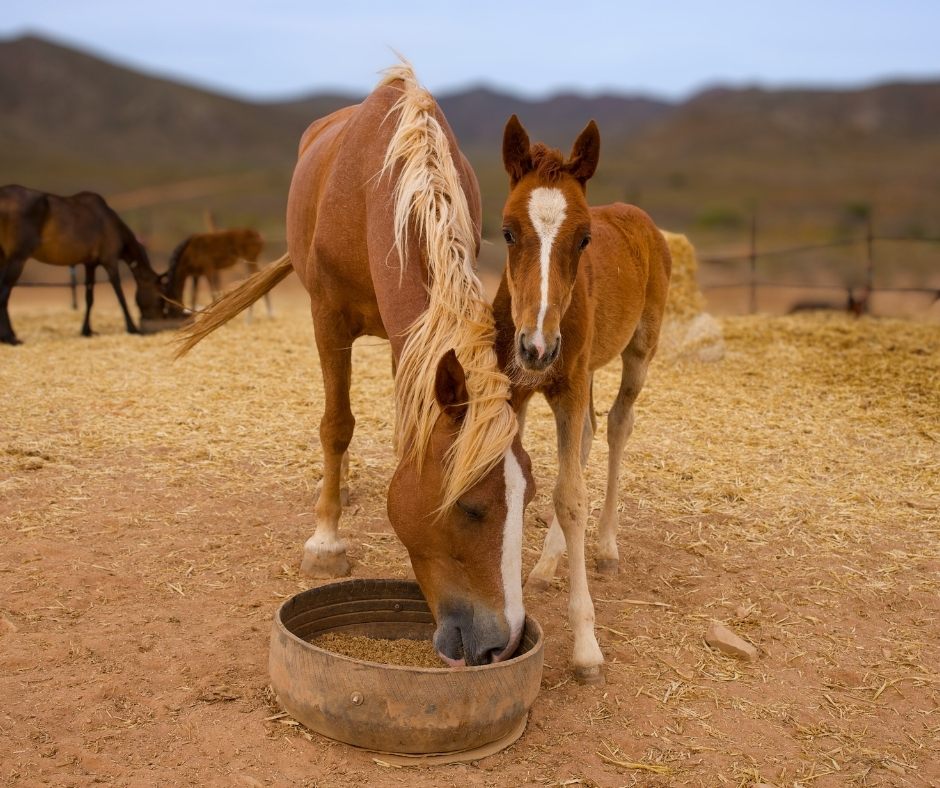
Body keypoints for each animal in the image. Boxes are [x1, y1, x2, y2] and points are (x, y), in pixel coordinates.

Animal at [0, 185, 165, 344]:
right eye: (160, 297)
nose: (157, 324)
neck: (110, 221)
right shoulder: (110, 261)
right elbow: (120, 295)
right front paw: (132, 328)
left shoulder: (90, 264)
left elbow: (89, 297)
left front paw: (87, 330)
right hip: (17, 259)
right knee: (4, 293)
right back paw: (10, 337)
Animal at [176, 63, 535, 667]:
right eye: (468, 508)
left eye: (528, 499)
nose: (499, 646)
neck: (378, 186)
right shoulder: (328, 318)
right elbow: (336, 425)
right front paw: (325, 542)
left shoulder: (412, 339)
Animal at [492, 115, 672, 683]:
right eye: (507, 231)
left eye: (585, 238)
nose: (537, 347)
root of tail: (639, 217)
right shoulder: (515, 391)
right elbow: (512, 484)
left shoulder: (566, 385)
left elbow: (571, 499)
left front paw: (586, 646)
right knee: (590, 433)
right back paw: (547, 564)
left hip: (638, 350)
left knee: (617, 425)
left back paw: (607, 547)